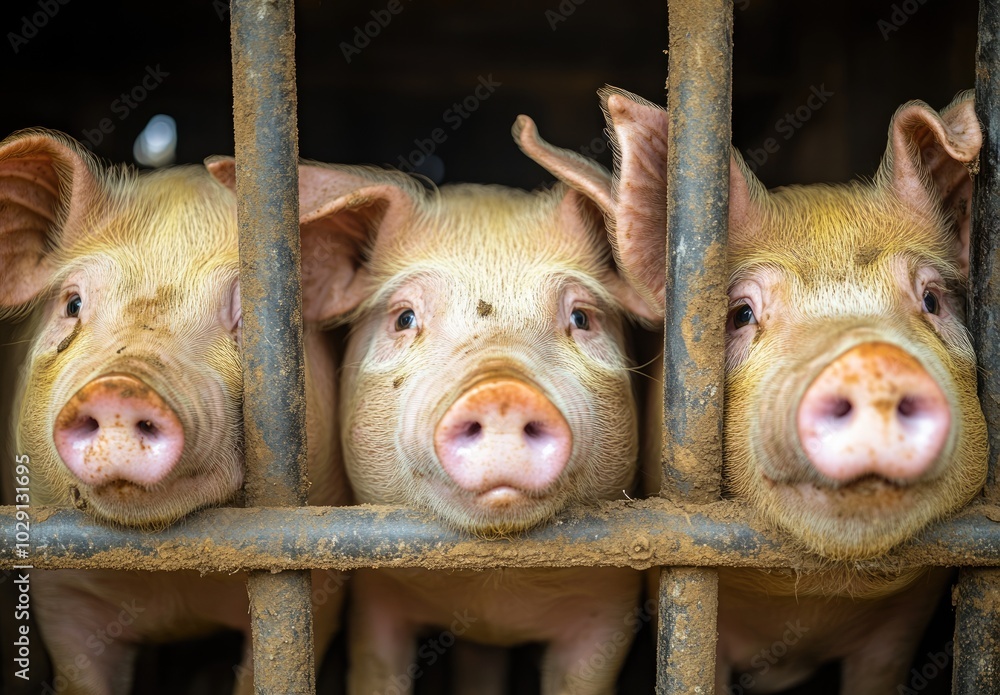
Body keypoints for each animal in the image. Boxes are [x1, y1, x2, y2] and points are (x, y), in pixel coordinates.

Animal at [294, 151, 664, 693]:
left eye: (581, 318)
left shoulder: (608, 606)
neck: (493, 591)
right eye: (404, 318)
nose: (501, 391)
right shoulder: (377, 597)